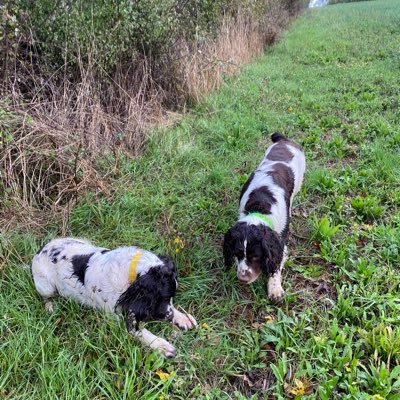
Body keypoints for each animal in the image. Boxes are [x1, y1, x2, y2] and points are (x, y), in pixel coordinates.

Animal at [32, 239, 197, 358]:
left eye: (171, 297)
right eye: (164, 297)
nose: (169, 316)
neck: (129, 272)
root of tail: (41, 249)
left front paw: (183, 318)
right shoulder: (117, 316)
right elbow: (139, 331)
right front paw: (162, 346)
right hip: (45, 286)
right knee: (46, 297)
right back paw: (51, 307)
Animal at [223, 133, 304, 302]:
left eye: (255, 257)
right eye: (237, 254)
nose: (242, 279)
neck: (260, 207)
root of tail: (284, 140)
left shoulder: (281, 242)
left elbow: (276, 264)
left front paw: (275, 289)